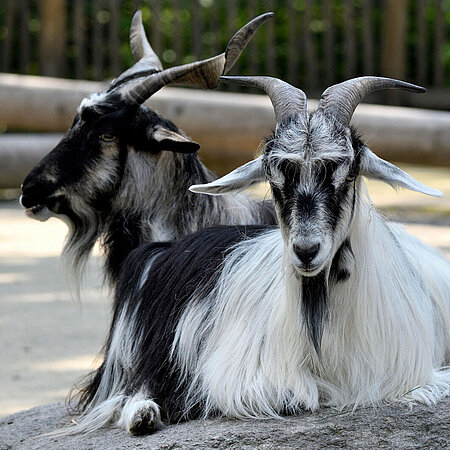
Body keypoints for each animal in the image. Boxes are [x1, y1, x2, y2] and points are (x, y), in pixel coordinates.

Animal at [60, 78, 450, 436]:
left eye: (347, 171)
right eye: (275, 178)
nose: (306, 251)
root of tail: (160, 249)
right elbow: (287, 395)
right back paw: (143, 415)